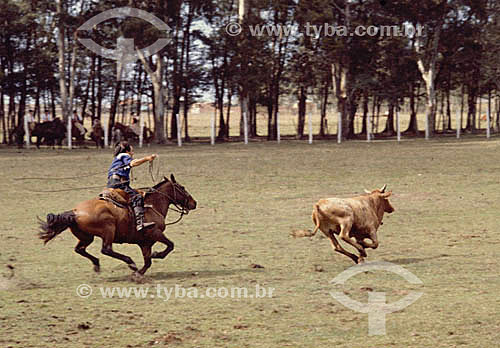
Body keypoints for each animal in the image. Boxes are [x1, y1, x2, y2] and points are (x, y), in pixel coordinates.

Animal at [38, 175, 197, 276]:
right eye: (182, 187)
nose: (194, 203)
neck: (153, 205)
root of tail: (75, 211)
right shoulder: (155, 233)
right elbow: (170, 245)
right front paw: (156, 255)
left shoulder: (145, 242)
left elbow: (148, 261)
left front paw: (139, 273)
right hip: (108, 230)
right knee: (106, 249)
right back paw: (130, 262)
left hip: (86, 237)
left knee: (79, 249)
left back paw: (97, 264)